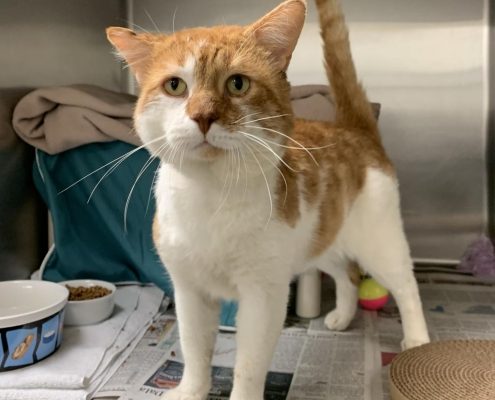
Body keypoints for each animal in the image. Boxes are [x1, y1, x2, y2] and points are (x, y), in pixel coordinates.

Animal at [107, 0, 430, 400]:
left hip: (378, 242)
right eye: (175, 86)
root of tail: (354, 129)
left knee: (405, 285)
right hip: (321, 240)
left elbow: (248, 367)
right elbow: (194, 351)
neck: (210, 196)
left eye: (237, 83)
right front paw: (190, 391)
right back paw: (342, 316)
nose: (202, 115)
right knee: (348, 274)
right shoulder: (189, 292)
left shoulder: (263, 297)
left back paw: (417, 340)